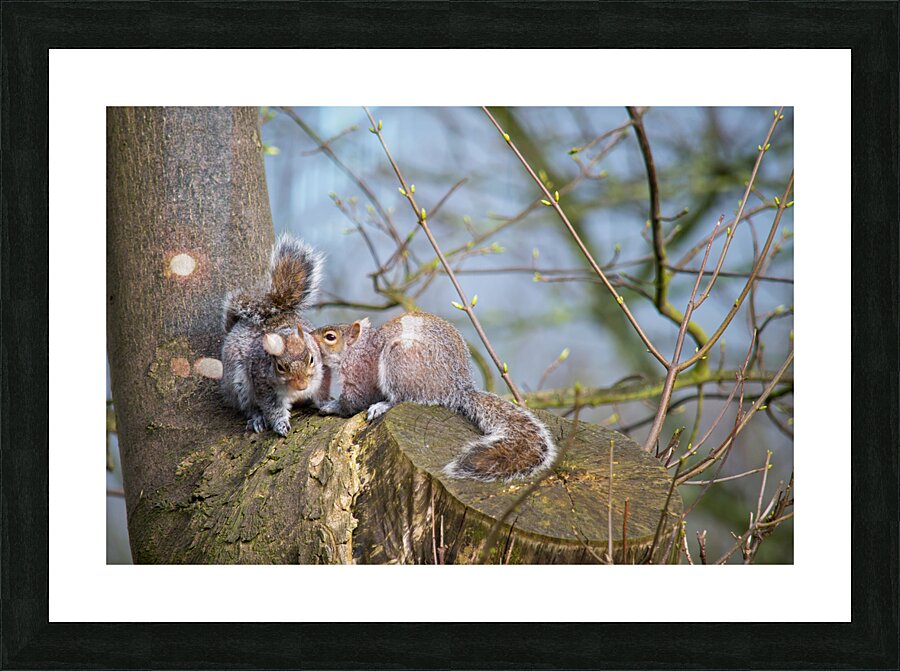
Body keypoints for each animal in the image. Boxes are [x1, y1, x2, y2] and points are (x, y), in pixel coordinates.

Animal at [220, 234, 327, 436]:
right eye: (280, 367)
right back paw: (257, 419)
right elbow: (272, 407)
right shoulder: (263, 384)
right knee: (248, 406)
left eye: (311, 359)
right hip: (239, 384)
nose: (302, 386)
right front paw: (280, 424)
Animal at [312, 312, 557, 481]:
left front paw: (330, 405)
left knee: (402, 397)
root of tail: (456, 390)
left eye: (330, 337)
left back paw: (383, 405)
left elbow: (355, 401)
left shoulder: (360, 373)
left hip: (400, 360)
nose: (309, 336)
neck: (357, 348)